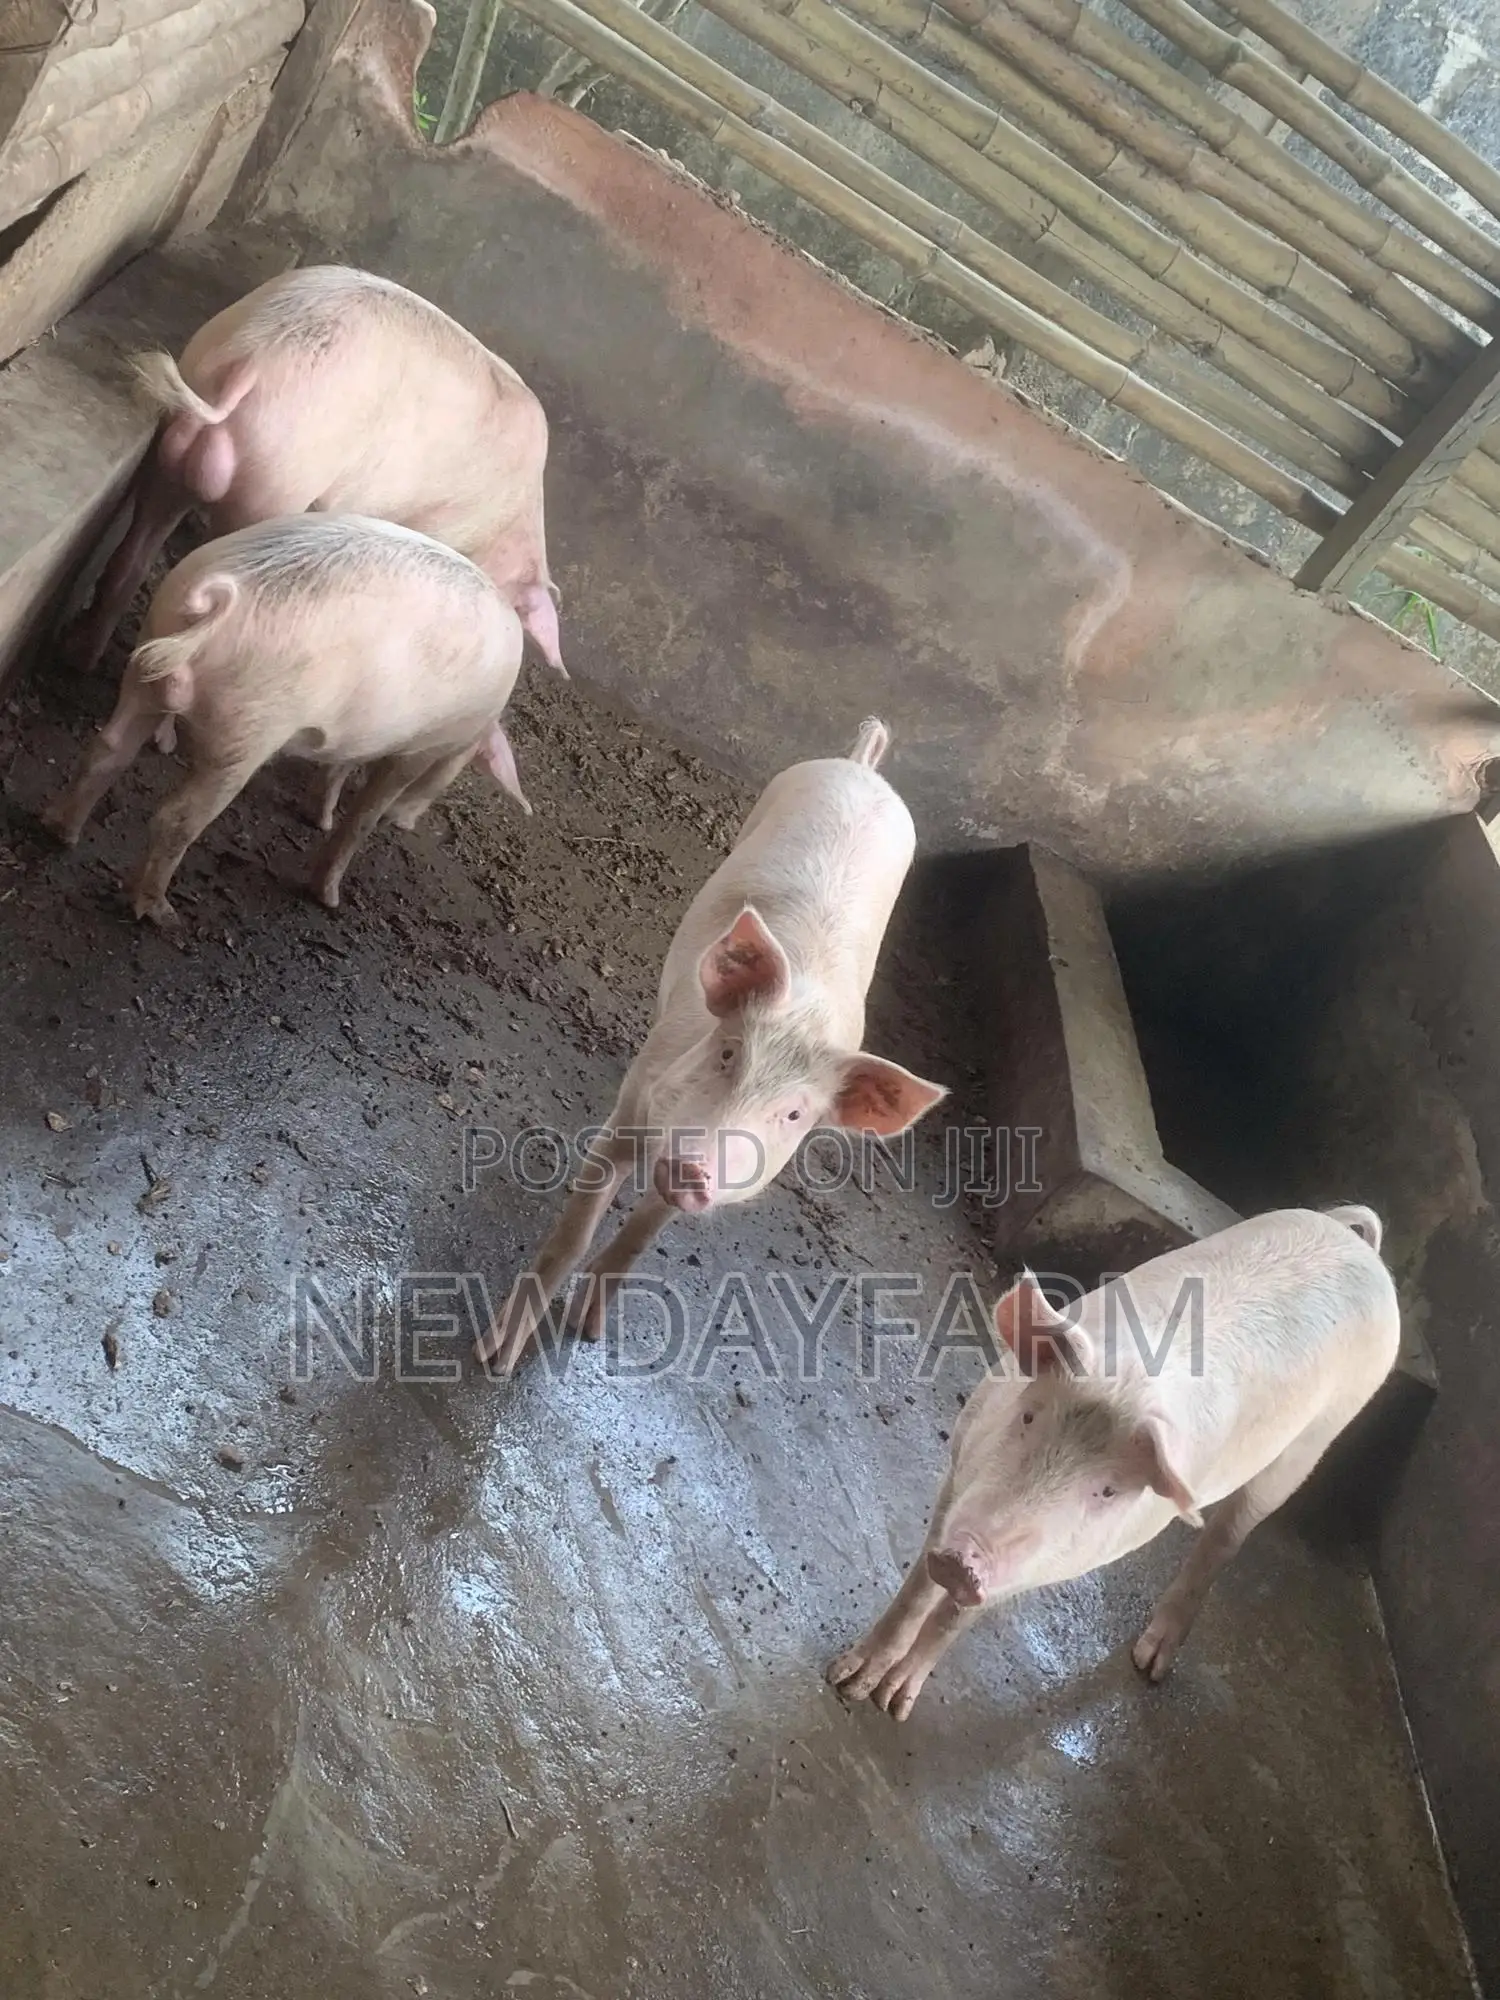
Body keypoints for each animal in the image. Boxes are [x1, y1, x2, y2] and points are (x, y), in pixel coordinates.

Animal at [43, 514, 530, 925]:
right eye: (461, 765)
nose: (407, 823)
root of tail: (219, 595)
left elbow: (338, 768)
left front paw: (320, 818)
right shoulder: (423, 744)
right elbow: (365, 817)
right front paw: (329, 899)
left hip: (146, 664)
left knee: (108, 750)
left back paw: (60, 831)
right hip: (250, 727)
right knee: (177, 818)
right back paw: (160, 913)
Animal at [62, 265, 565, 682]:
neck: (505, 524)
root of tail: (249, 361)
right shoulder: (438, 526)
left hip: (167, 451)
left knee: (131, 557)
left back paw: (82, 661)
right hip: (273, 483)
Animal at [475, 717, 948, 1373]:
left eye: (793, 1113)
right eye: (727, 1055)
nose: (692, 1166)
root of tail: (863, 767)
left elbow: (640, 1235)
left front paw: (589, 1332)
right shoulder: (634, 1108)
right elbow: (573, 1233)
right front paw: (495, 1359)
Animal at [827, 1204, 1398, 1719]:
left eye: (1106, 1491)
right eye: (1028, 1416)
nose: (966, 1561)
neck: (1130, 1384)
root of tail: (1362, 1248)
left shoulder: (1055, 1559)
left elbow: (953, 1620)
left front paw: (894, 1707)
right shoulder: (959, 1464)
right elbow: (916, 1588)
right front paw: (848, 1682)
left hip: (1317, 1438)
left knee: (1228, 1536)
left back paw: (1149, 1665)